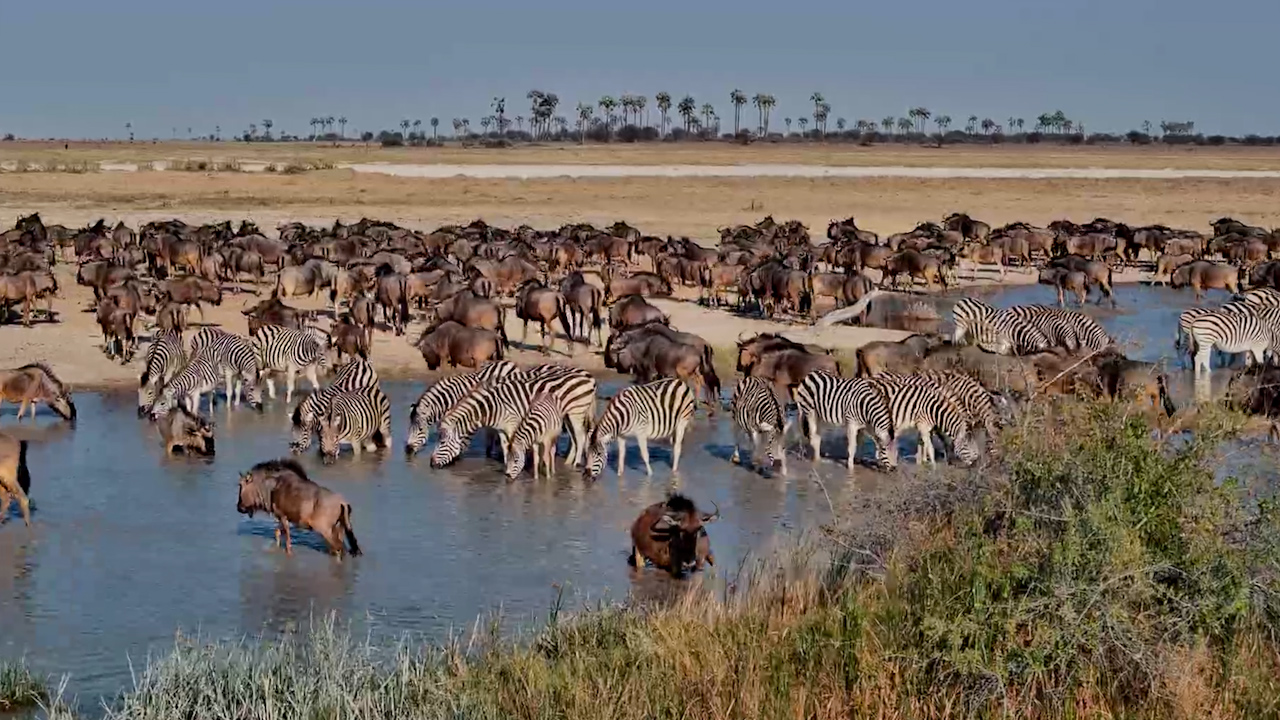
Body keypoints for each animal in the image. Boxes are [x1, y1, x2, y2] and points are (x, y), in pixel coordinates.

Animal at [430, 366, 597, 469]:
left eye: (442, 442)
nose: (431, 464)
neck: (493, 407)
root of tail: (589, 378)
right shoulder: (501, 428)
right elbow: (505, 446)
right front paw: (506, 464)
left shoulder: (512, 424)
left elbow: (512, 445)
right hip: (568, 415)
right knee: (575, 438)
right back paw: (568, 462)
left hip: (576, 413)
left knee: (581, 437)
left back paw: (575, 464)